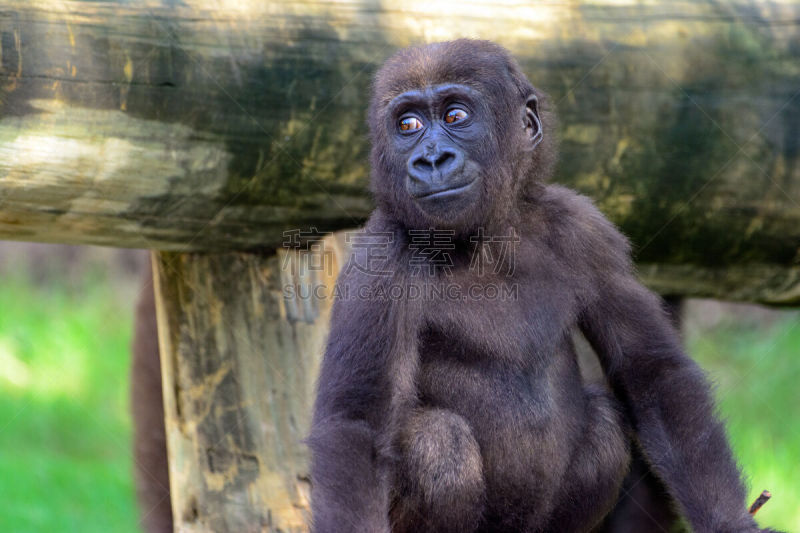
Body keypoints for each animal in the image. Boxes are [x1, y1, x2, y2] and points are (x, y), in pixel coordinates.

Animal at [308, 40, 780, 532]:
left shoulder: (585, 230)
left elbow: (653, 371)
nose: (431, 160)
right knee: (436, 441)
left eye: (456, 116)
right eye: (408, 126)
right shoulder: (381, 258)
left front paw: (729, 520)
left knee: (605, 426)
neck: (489, 237)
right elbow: (357, 424)